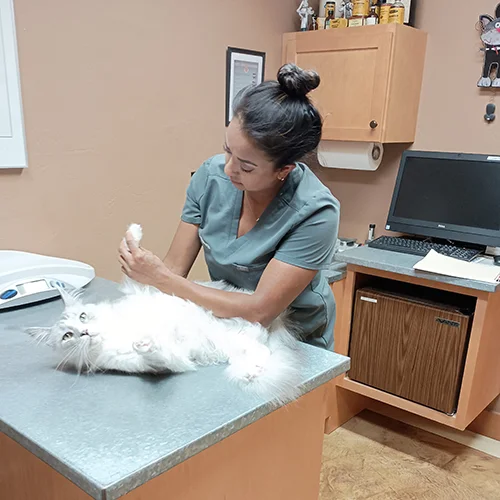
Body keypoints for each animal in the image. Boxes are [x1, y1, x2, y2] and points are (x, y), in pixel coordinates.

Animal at [27, 225, 302, 404]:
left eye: (83, 317)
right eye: (68, 336)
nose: (84, 332)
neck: (113, 331)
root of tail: (275, 325)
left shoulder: (139, 288)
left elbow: (132, 249)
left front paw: (133, 234)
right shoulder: (158, 364)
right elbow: (157, 355)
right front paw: (144, 343)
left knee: (263, 350)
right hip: (231, 345)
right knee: (260, 352)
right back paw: (250, 372)